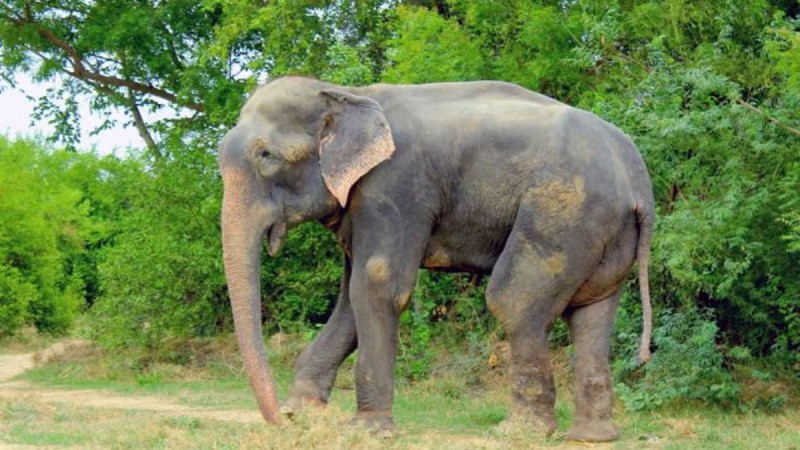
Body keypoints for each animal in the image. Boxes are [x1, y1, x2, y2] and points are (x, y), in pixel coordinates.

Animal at [220, 75, 656, 442]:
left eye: (267, 156)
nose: (278, 420)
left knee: (513, 301)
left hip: (565, 212)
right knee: (591, 312)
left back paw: (520, 432)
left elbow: (377, 285)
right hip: (605, 233)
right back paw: (591, 436)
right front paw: (303, 413)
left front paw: (368, 431)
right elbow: (349, 301)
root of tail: (639, 180)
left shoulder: (395, 187)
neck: (347, 92)